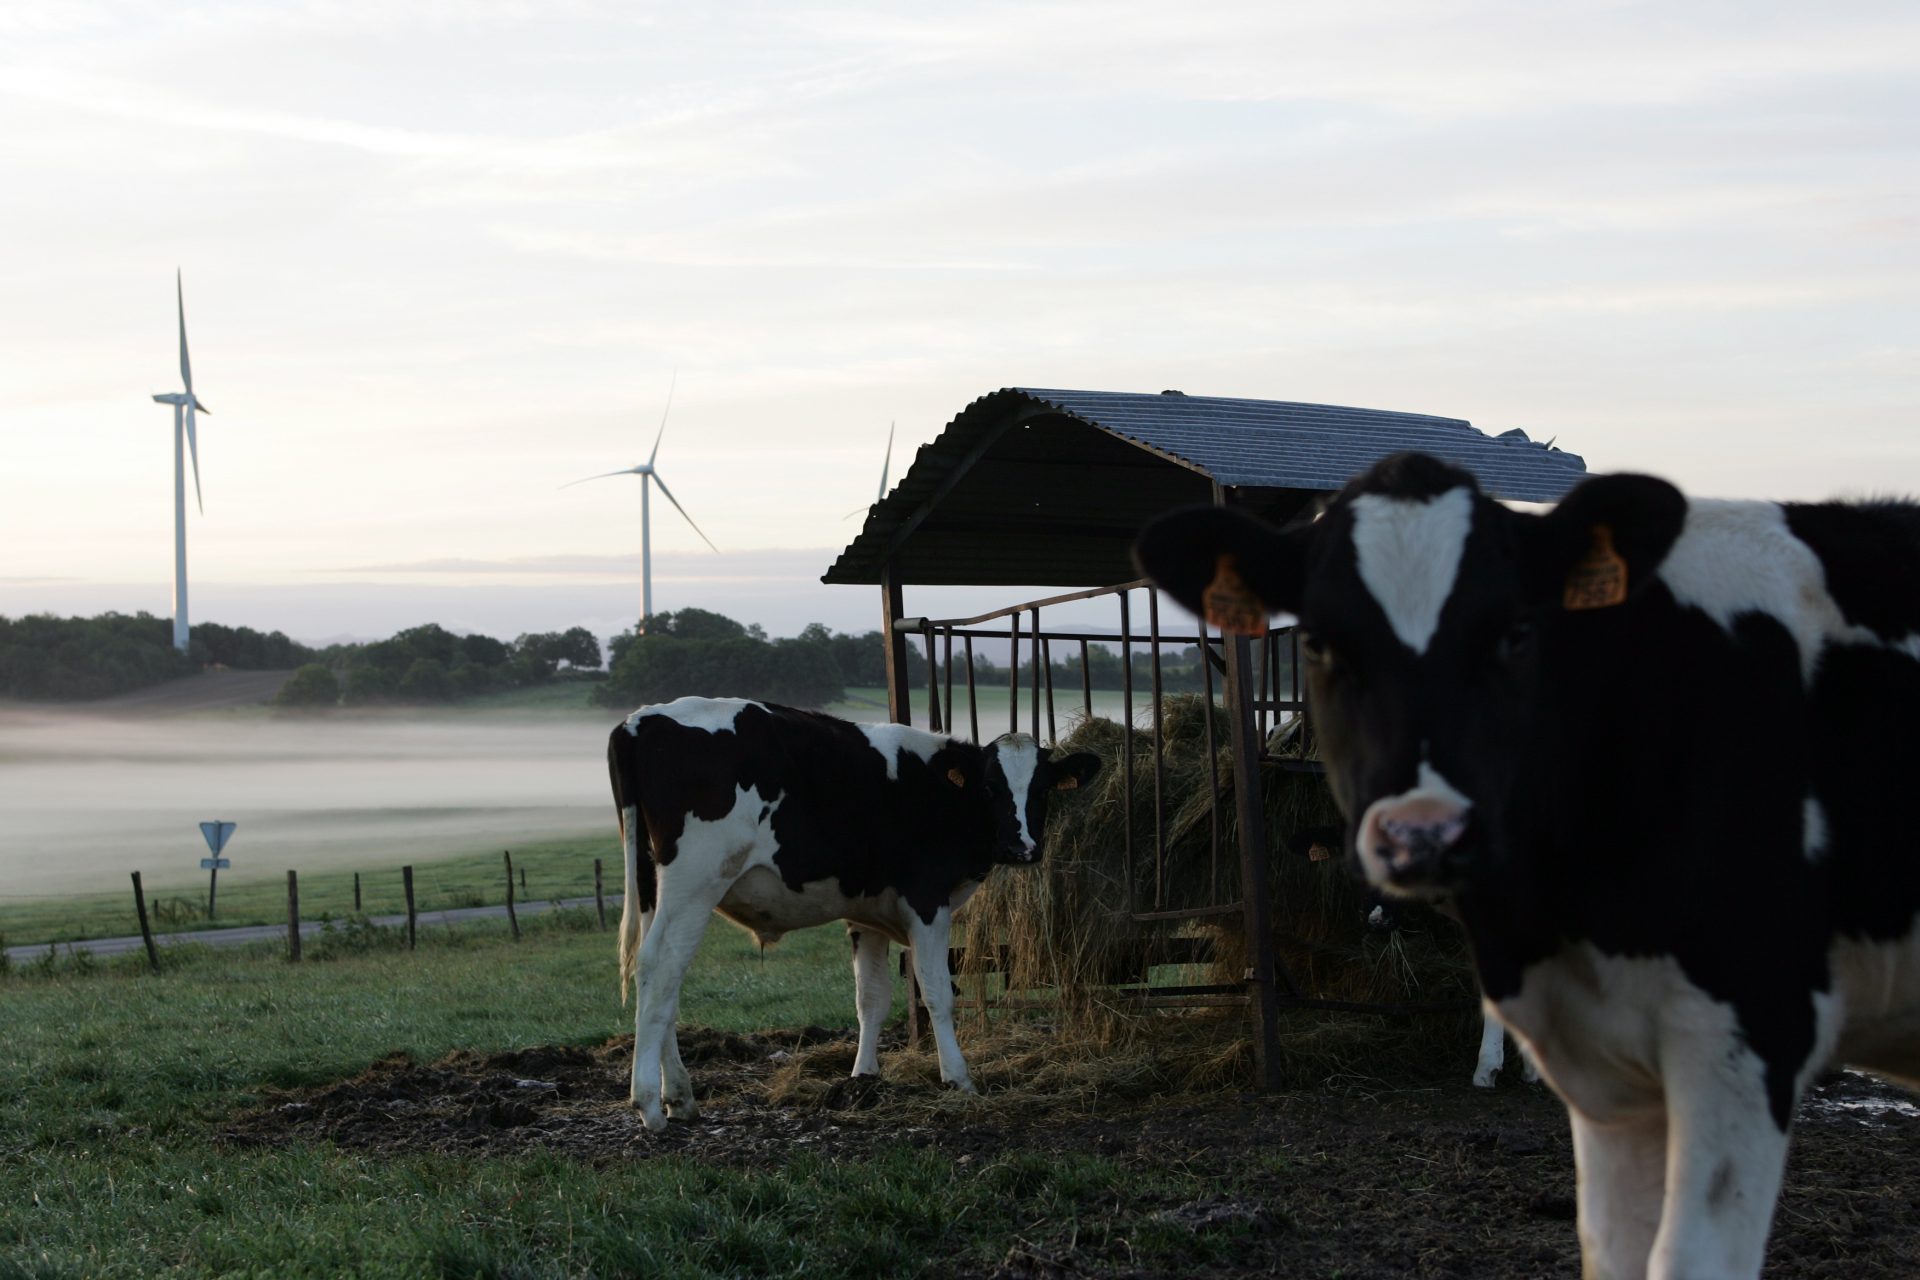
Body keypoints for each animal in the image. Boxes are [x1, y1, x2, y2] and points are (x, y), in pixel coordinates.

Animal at [606, 702, 1105, 1128]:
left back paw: (679, 1096)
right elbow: (937, 993)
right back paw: (649, 1103)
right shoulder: (927, 902)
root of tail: (640, 720)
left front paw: (863, 1078)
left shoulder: (866, 915)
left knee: (659, 982)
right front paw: (958, 1079)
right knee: (659, 968)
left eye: (1042, 789)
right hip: (694, 881)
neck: (935, 793)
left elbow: (872, 1000)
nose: (1022, 848)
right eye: (990, 786)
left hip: (655, 888)